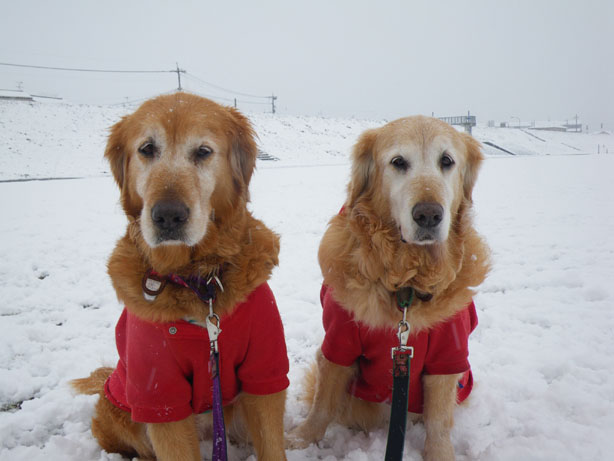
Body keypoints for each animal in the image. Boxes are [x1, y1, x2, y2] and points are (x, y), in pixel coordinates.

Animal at [73, 93, 290, 460]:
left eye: (203, 151)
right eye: (147, 149)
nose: (168, 215)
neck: (201, 283)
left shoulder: (265, 370)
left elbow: (271, 443)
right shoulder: (158, 393)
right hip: (117, 408)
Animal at [288, 116, 490, 460]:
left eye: (447, 161)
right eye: (398, 162)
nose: (428, 215)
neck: (406, 283)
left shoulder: (449, 352)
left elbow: (439, 421)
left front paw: (439, 454)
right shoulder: (339, 339)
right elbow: (322, 404)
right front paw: (301, 440)